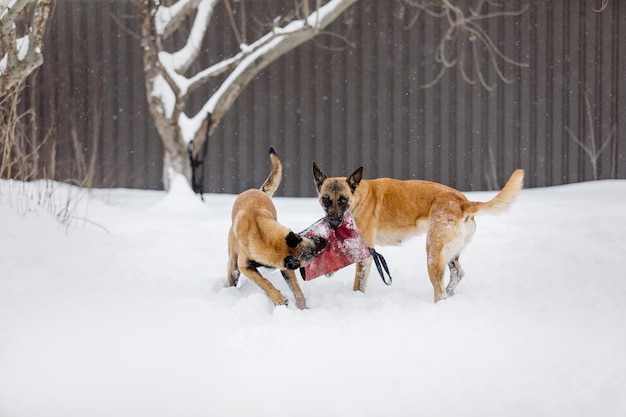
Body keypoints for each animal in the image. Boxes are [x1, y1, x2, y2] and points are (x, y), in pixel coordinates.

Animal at [228, 148, 326, 308]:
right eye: (313, 253)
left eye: (308, 238)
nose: (325, 241)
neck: (264, 238)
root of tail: (258, 190)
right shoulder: (245, 266)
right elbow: (264, 281)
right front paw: (278, 298)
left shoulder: (286, 269)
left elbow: (296, 290)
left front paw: (303, 308)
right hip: (233, 266)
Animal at [310, 162, 520, 302]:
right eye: (326, 199)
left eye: (342, 200)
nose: (333, 222)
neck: (358, 197)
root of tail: (462, 202)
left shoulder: (366, 251)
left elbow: (358, 282)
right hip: (448, 252)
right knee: (457, 274)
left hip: (433, 255)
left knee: (439, 290)